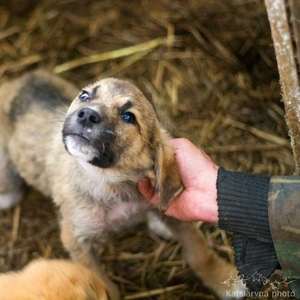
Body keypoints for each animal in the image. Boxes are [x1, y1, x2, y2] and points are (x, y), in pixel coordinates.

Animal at [0, 70, 246, 298]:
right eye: (85, 96)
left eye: (128, 117)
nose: (86, 115)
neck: (110, 180)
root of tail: (17, 81)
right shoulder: (77, 240)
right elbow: (100, 280)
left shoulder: (178, 217)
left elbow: (199, 250)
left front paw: (224, 277)